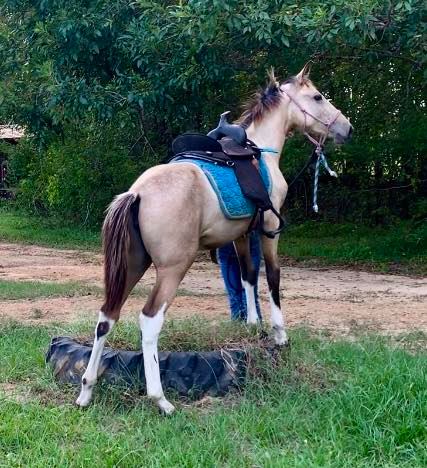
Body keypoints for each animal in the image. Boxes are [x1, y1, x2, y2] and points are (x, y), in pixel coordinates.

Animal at [75, 65, 352, 414]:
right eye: (317, 97)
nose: (347, 128)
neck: (261, 150)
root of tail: (136, 193)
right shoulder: (269, 228)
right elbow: (272, 278)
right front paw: (279, 335)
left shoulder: (242, 235)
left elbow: (248, 276)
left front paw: (251, 325)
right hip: (172, 270)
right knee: (149, 320)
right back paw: (161, 400)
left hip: (132, 265)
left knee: (106, 317)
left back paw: (86, 390)